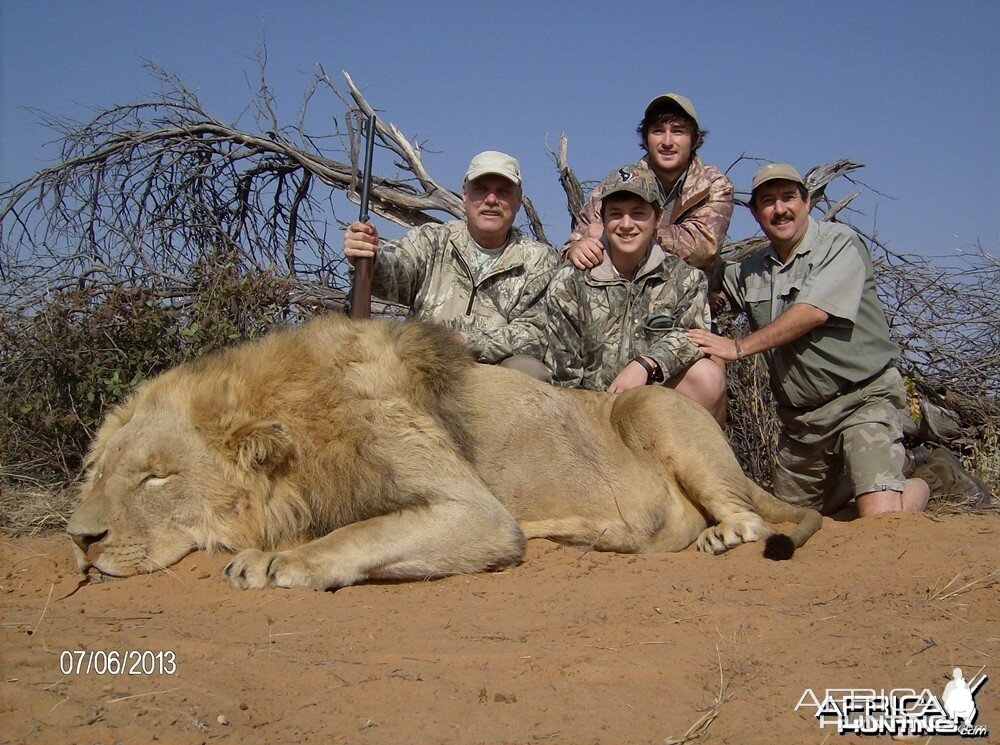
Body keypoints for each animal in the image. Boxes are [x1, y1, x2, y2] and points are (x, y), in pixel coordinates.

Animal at [68, 314, 820, 588]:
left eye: (156, 478)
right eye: (99, 471)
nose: (80, 539)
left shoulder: (475, 512)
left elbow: (356, 534)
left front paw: (273, 561)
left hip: (649, 407)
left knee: (751, 517)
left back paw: (722, 537)